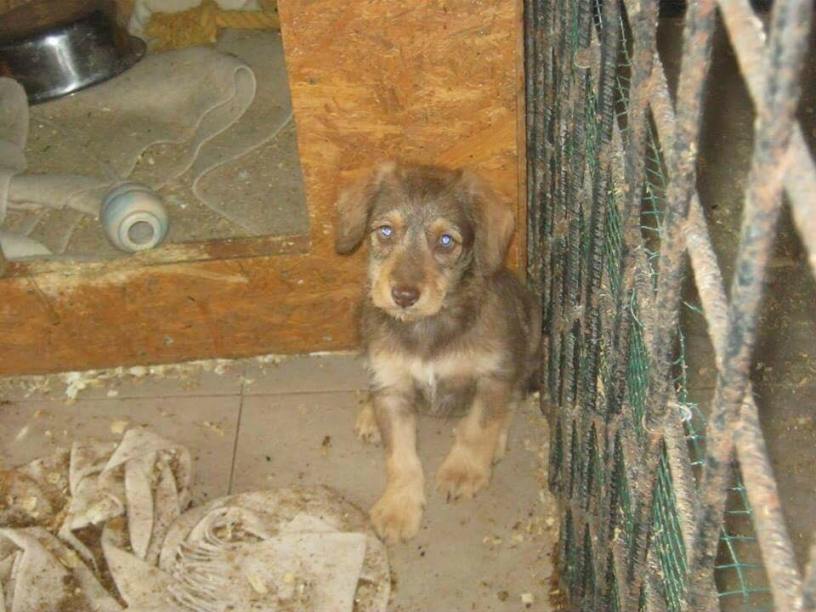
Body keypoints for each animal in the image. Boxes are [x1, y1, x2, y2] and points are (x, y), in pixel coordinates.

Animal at [334, 160, 540, 544]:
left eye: (446, 241)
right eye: (385, 231)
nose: (403, 295)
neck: (427, 327)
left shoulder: (495, 372)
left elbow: (479, 425)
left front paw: (464, 471)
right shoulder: (393, 385)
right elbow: (400, 456)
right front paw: (399, 507)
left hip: (531, 335)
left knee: (512, 398)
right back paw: (370, 413)